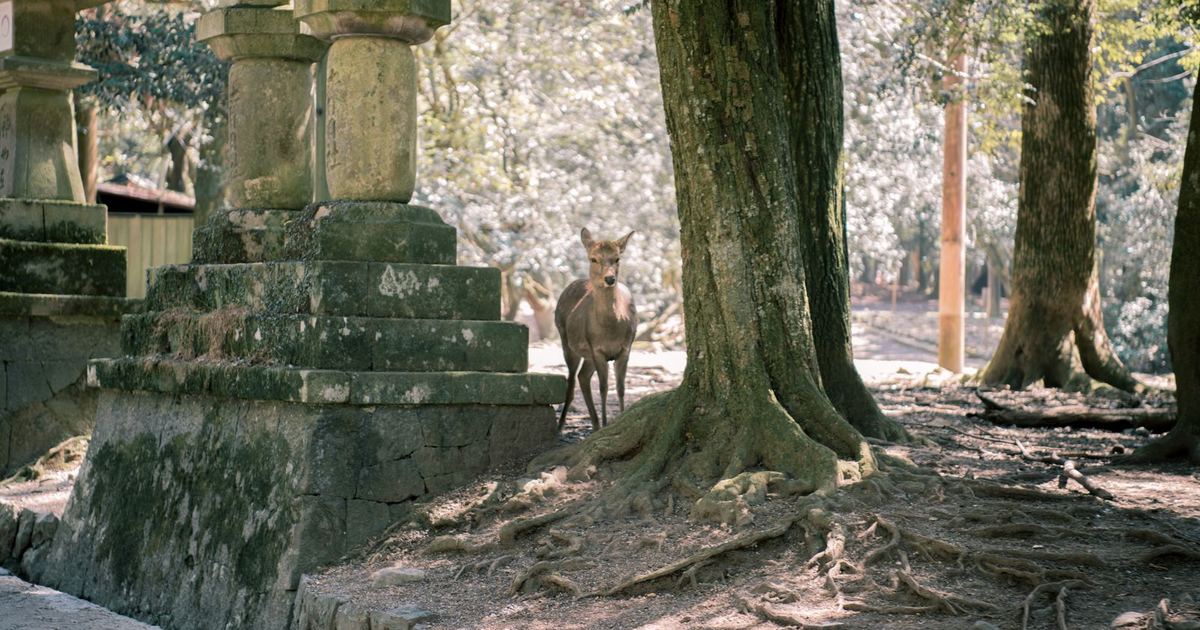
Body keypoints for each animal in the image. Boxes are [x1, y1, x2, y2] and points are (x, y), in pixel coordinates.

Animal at [556, 228, 636, 432]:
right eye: (593, 259)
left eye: (617, 258)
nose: (610, 279)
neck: (610, 329)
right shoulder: (597, 349)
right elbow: (603, 387)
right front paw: (608, 424)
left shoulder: (626, 348)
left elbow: (620, 388)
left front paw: (618, 419)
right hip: (566, 341)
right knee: (571, 382)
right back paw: (560, 427)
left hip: (588, 355)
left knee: (583, 377)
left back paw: (595, 425)